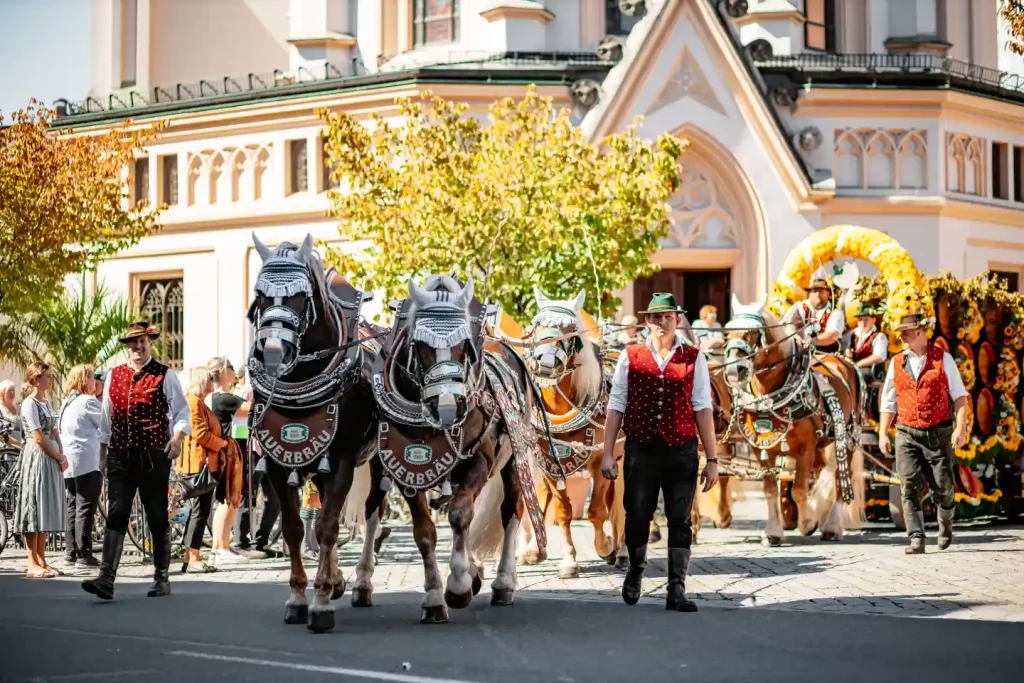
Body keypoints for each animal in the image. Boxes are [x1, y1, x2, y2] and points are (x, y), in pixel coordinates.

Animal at [245, 236, 378, 634]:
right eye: (259, 296)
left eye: (300, 296)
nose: (273, 352)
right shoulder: (278, 463)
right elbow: (294, 529)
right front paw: (299, 597)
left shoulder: (344, 462)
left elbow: (330, 528)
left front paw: (320, 603)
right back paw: (336, 580)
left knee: (372, 513)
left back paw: (361, 583)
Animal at [350, 274, 544, 622]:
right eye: (420, 344)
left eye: (465, 344)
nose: (448, 405)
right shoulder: (406, 469)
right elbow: (424, 531)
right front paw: (434, 598)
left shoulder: (478, 461)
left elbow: (459, 515)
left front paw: (458, 585)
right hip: (379, 466)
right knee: (373, 509)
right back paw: (363, 582)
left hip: (512, 461)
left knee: (510, 512)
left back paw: (503, 582)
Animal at [516, 288, 626, 577]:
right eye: (536, 325)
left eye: (571, 328)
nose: (545, 361)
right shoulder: (550, 464)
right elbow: (562, 510)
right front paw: (568, 559)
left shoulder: (601, 463)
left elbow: (597, 510)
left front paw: (604, 546)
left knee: (620, 504)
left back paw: (621, 552)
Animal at [720, 294, 864, 544]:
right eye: (728, 333)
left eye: (752, 333)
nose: (733, 371)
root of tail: (843, 361)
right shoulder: (762, 449)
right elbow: (770, 490)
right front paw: (773, 532)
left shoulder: (805, 448)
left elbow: (798, 489)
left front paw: (808, 522)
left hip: (847, 437)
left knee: (840, 479)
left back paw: (831, 526)